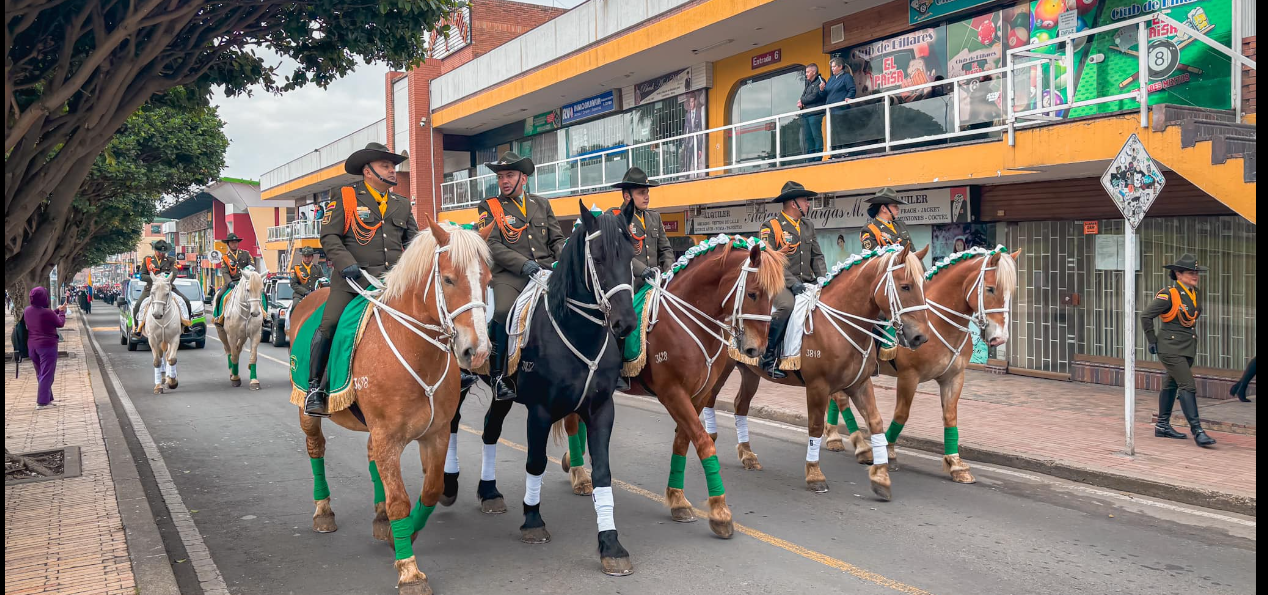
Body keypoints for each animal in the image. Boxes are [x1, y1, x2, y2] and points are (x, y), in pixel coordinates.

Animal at [290, 219, 491, 593]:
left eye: (487, 280)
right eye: (448, 279)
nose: (478, 351)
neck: (415, 349)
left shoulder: (436, 434)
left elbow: (431, 490)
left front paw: (405, 534)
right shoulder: (388, 436)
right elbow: (401, 500)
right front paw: (409, 570)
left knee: (371, 458)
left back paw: (380, 515)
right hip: (307, 411)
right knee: (316, 449)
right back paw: (323, 511)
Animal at [446, 200, 644, 575]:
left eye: (631, 255)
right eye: (597, 258)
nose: (625, 323)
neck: (576, 329)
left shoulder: (601, 408)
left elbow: (603, 472)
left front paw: (611, 544)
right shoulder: (540, 410)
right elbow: (535, 462)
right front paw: (533, 521)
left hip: (502, 394)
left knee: (490, 430)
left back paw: (489, 492)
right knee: (451, 425)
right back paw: (448, 485)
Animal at [560, 235, 786, 537]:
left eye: (772, 297)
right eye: (752, 294)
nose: (756, 350)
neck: (692, 321)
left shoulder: (698, 395)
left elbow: (683, 442)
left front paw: (678, 499)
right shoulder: (672, 393)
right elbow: (704, 442)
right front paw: (719, 511)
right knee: (572, 422)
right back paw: (579, 475)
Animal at [705, 243, 933, 499]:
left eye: (923, 285)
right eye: (905, 286)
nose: (920, 337)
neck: (840, 323)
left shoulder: (860, 383)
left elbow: (875, 422)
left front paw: (881, 477)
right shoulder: (818, 386)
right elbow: (814, 426)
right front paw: (815, 474)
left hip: (750, 373)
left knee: (740, 406)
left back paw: (747, 455)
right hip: (722, 369)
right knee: (709, 399)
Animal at [831, 246, 1019, 482]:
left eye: (1010, 292)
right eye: (991, 289)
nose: (1000, 338)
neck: (940, 323)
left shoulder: (954, 377)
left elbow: (950, 417)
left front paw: (956, 464)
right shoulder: (908, 376)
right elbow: (901, 415)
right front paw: (889, 451)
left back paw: (834, 437)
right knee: (840, 398)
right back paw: (858, 444)